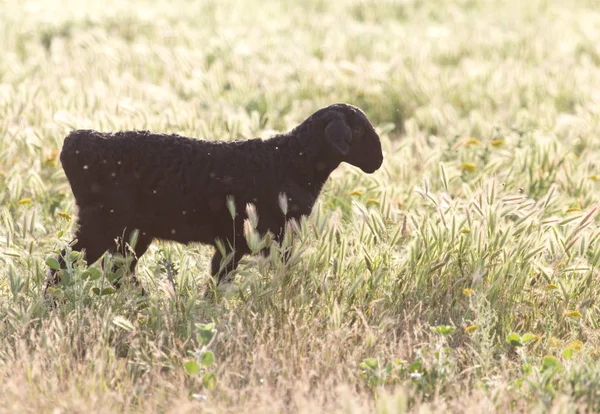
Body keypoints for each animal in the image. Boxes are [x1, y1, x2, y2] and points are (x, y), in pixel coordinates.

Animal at [45, 104, 384, 294]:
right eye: (358, 131)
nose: (379, 161)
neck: (290, 160)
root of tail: (78, 141)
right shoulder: (252, 240)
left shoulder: (241, 243)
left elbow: (220, 281)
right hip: (102, 222)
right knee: (65, 262)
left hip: (131, 230)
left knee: (116, 268)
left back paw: (141, 303)